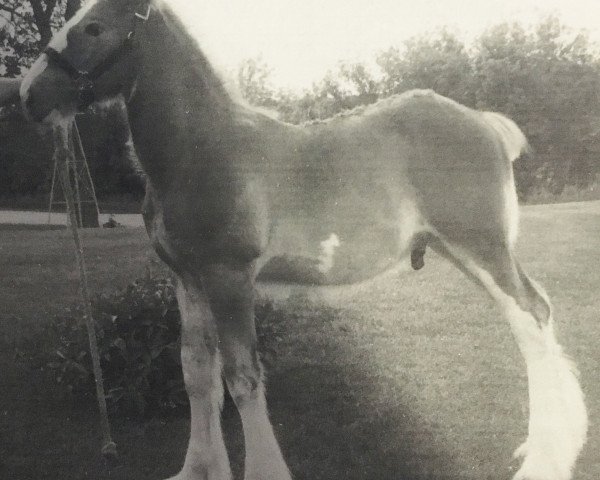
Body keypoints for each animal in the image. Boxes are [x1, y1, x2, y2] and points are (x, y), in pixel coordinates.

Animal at [18, 0, 584, 480]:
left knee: (530, 318)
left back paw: (545, 456)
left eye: (94, 28)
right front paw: (198, 469)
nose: (27, 95)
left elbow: (243, 379)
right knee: (535, 316)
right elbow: (196, 374)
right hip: (464, 249)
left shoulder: (229, 277)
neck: (203, 150)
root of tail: (486, 122)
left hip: (482, 248)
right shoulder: (187, 280)